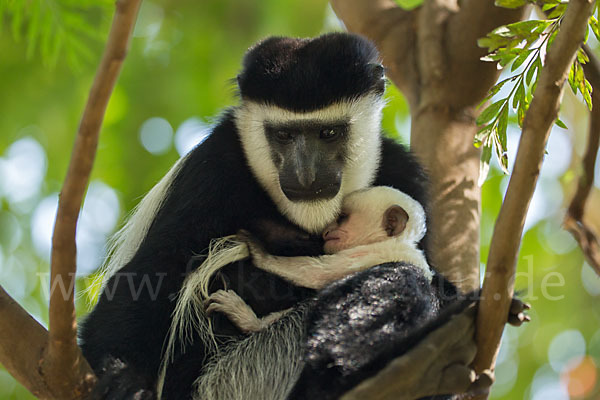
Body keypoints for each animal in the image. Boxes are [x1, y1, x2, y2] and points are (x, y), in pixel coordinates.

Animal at [82, 32, 480, 400]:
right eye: (284, 135)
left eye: (329, 132)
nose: (306, 175)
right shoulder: (212, 168)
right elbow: (153, 269)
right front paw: (123, 378)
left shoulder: (405, 174)